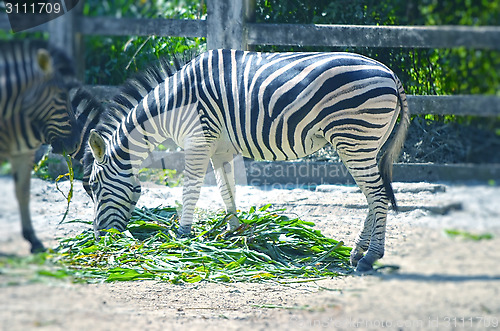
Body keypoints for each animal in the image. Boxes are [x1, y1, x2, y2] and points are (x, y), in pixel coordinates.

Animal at [89, 50, 410, 272]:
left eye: (93, 187)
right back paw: (357, 253)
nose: (100, 237)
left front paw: (181, 236)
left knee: (378, 195)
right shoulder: (219, 149)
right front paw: (234, 233)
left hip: (353, 139)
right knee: (374, 196)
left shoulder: (198, 140)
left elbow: (191, 190)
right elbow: (226, 191)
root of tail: (390, 74)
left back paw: (370, 257)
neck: (174, 103)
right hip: (366, 144)